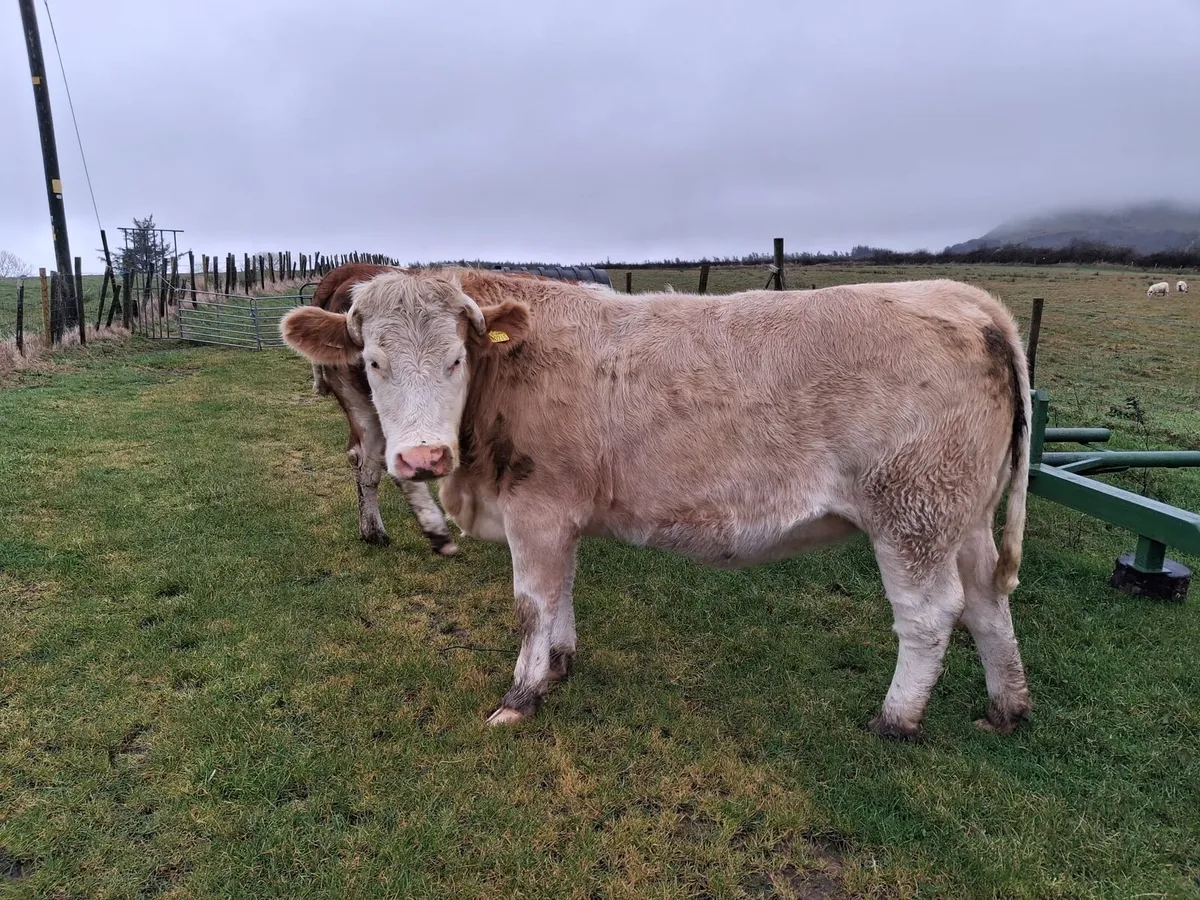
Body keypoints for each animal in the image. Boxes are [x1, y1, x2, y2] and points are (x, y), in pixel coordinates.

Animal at [280, 269, 1034, 741]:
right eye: (372, 362)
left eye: (456, 359)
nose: (422, 459)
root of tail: (970, 300)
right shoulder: (561, 509)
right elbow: (561, 591)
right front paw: (560, 662)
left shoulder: (537, 506)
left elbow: (531, 604)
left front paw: (521, 696)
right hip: (962, 515)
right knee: (988, 600)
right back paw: (1008, 707)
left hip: (912, 512)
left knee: (930, 615)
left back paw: (896, 720)